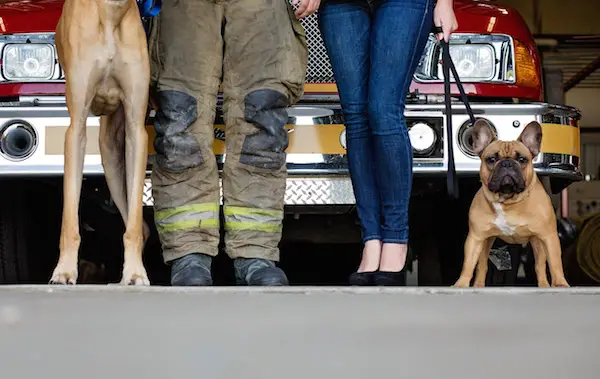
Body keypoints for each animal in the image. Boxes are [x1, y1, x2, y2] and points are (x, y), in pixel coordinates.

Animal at [50, 0, 151, 284]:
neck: (111, 12)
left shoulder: (136, 130)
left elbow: (134, 224)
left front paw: (135, 272)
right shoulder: (76, 128)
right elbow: (69, 220)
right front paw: (64, 271)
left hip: (114, 159)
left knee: (140, 225)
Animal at [452, 120, 568, 290]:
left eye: (522, 159)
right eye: (491, 159)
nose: (507, 163)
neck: (508, 201)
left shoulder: (549, 236)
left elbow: (555, 262)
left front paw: (560, 284)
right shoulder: (476, 237)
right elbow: (468, 263)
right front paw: (461, 284)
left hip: (537, 242)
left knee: (540, 265)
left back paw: (544, 285)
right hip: (486, 242)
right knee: (482, 265)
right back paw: (478, 286)